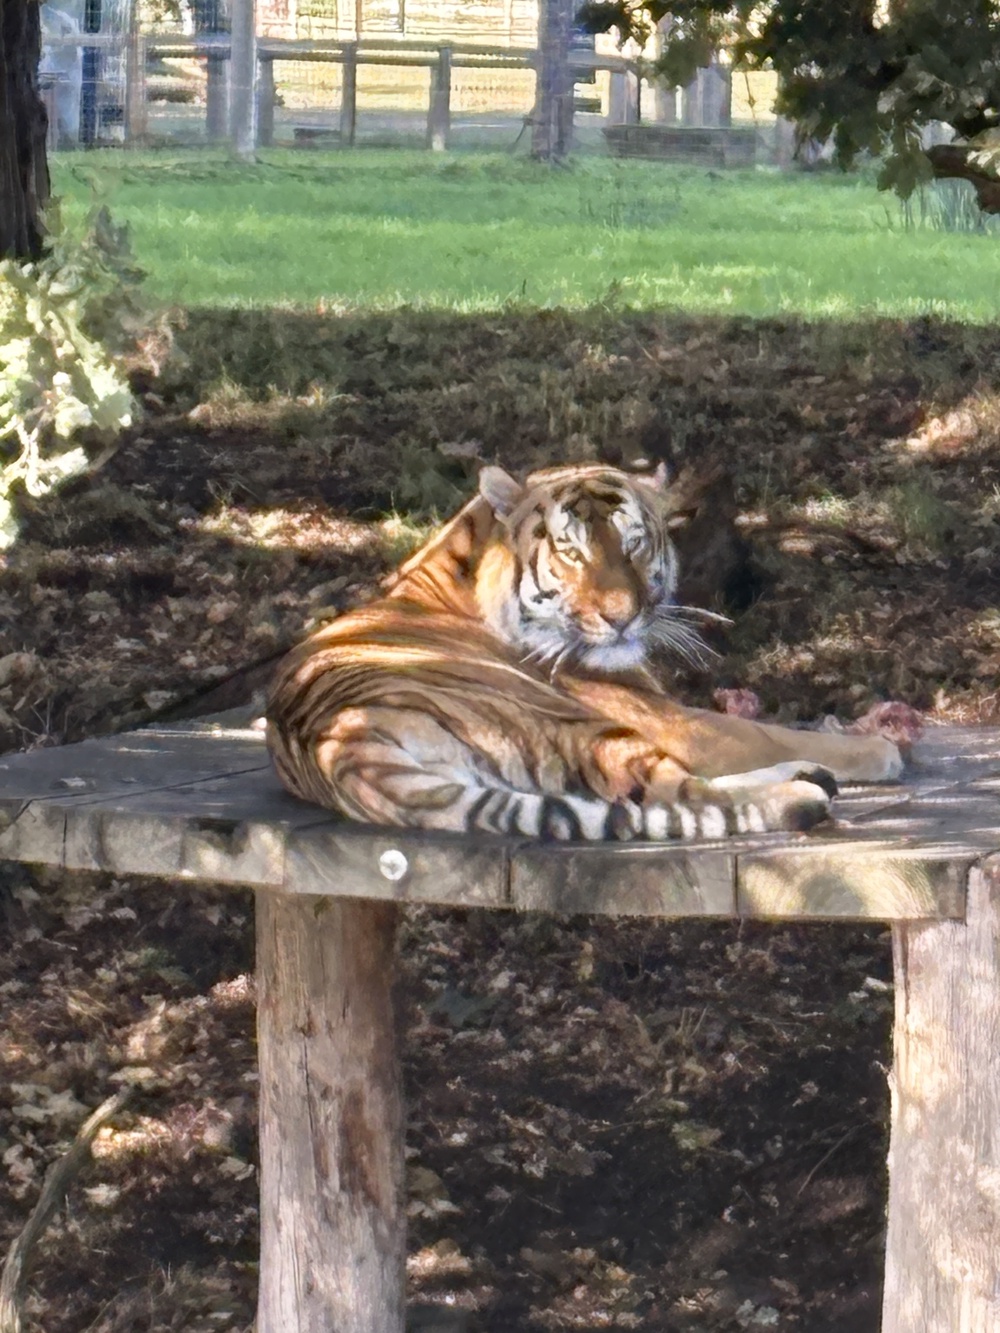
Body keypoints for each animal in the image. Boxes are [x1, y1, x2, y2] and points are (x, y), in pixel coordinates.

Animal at [266, 463, 903, 842]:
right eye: (571, 553)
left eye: (633, 543)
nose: (620, 617)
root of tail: (345, 749)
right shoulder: (675, 721)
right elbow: (771, 731)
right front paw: (879, 748)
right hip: (579, 727)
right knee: (684, 794)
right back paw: (804, 791)